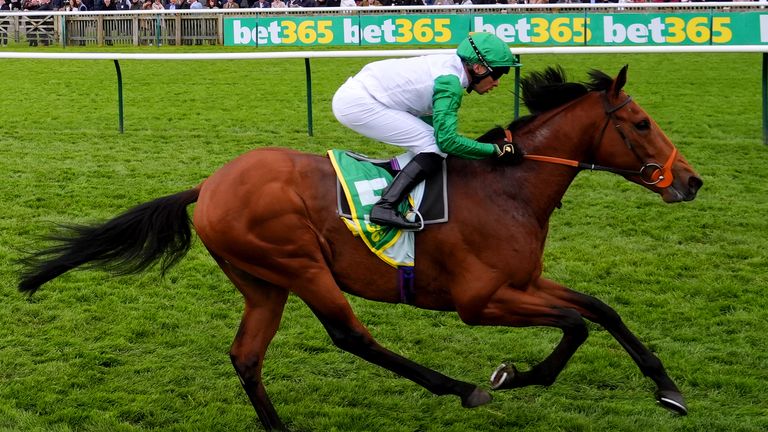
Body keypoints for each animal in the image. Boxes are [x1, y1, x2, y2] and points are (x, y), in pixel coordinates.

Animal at [18, 66, 704, 430]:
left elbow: (600, 309)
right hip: (298, 263)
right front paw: (511, 375)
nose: (692, 181)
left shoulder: (525, 282)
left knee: (246, 355)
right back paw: (461, 388)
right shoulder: (480, 301)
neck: (509, 185)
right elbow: (574, 325)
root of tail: (208, 185)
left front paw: (669, 389)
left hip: (262, 282)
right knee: (351, 336)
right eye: (640, 123)